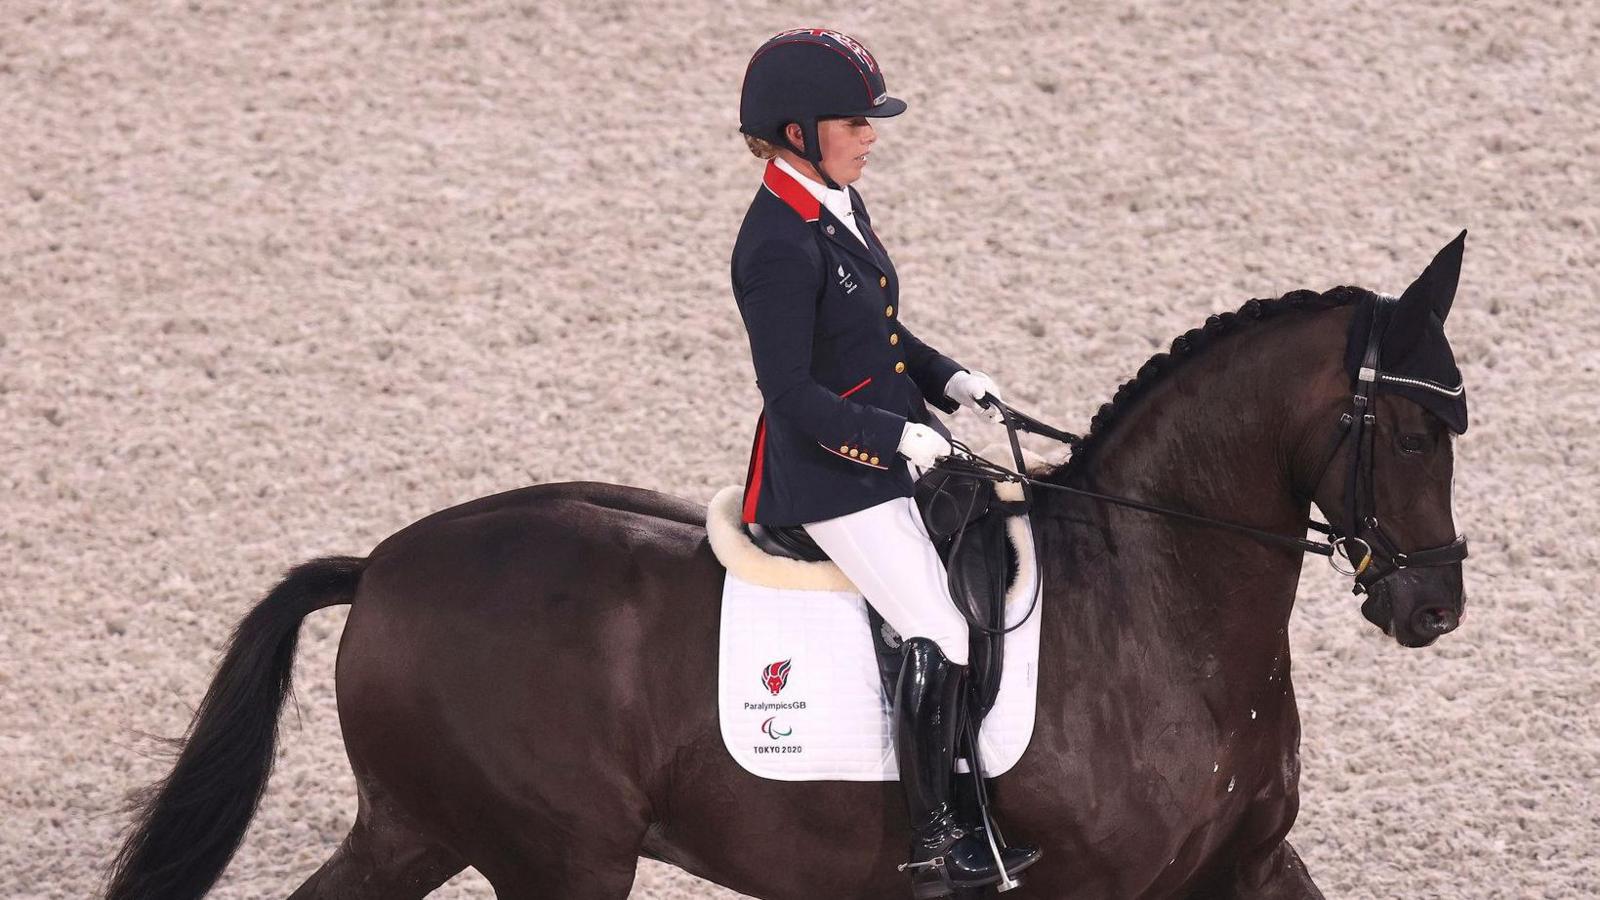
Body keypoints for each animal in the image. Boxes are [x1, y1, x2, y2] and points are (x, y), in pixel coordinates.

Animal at [106, 235, 1465, 890]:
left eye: (1460, 424)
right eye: (1406, 433)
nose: (1433, 606)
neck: (1160, 614)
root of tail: (383, 567)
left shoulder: (1247, 862)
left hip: (419, 826)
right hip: (556, 855)